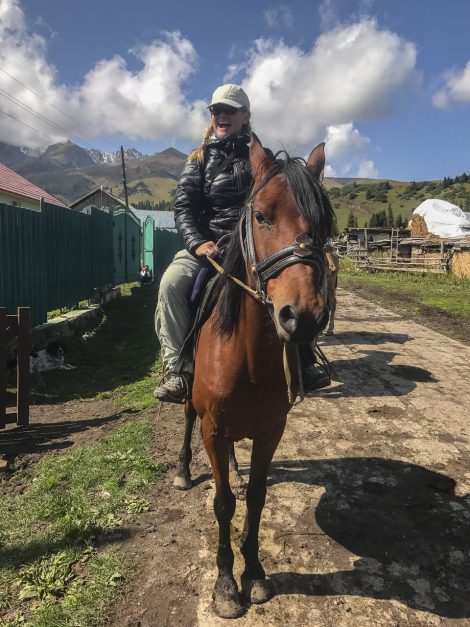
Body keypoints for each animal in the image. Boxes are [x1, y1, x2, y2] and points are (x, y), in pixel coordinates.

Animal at [174, 135, 336, 620]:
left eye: (322, 225)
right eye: (261, 215)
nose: (303, 317)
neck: (246, 356)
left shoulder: (270, 430)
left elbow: (257, 498)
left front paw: (256, 572)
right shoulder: (212, 427)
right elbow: (223, 503)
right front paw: (226, 584)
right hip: (192, 404)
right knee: (186, 420)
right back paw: (184, 470)